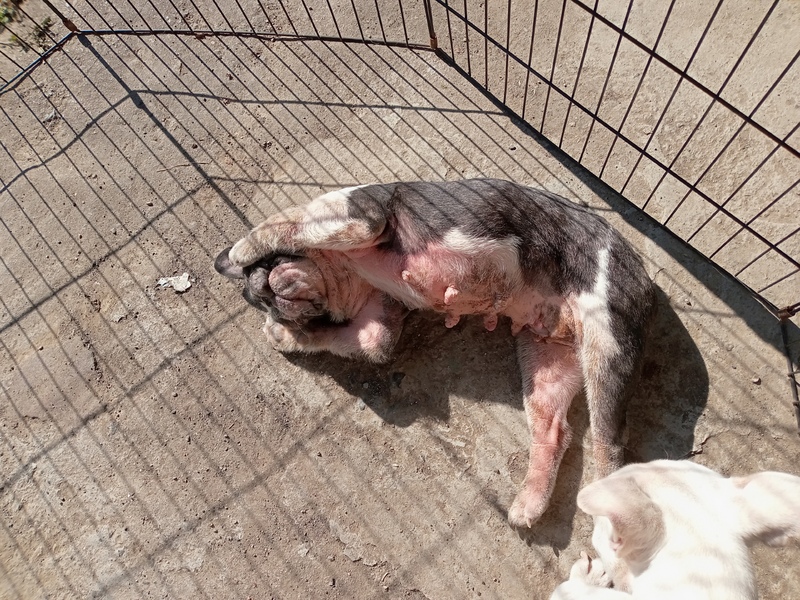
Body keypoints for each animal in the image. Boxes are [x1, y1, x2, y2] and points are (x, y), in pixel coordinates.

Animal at [215, 179, 656, 528]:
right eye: (262, 303)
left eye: (266, 268)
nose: (267, 294)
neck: (346, 274)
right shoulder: (380, 322)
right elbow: (356, 340)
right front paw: (280, 336)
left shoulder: (360, 216)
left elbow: (283, 225)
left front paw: (236, 254)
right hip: (547, 359)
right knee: (555, 430)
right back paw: (524, 509)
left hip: (608, 343)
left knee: (610, 443)